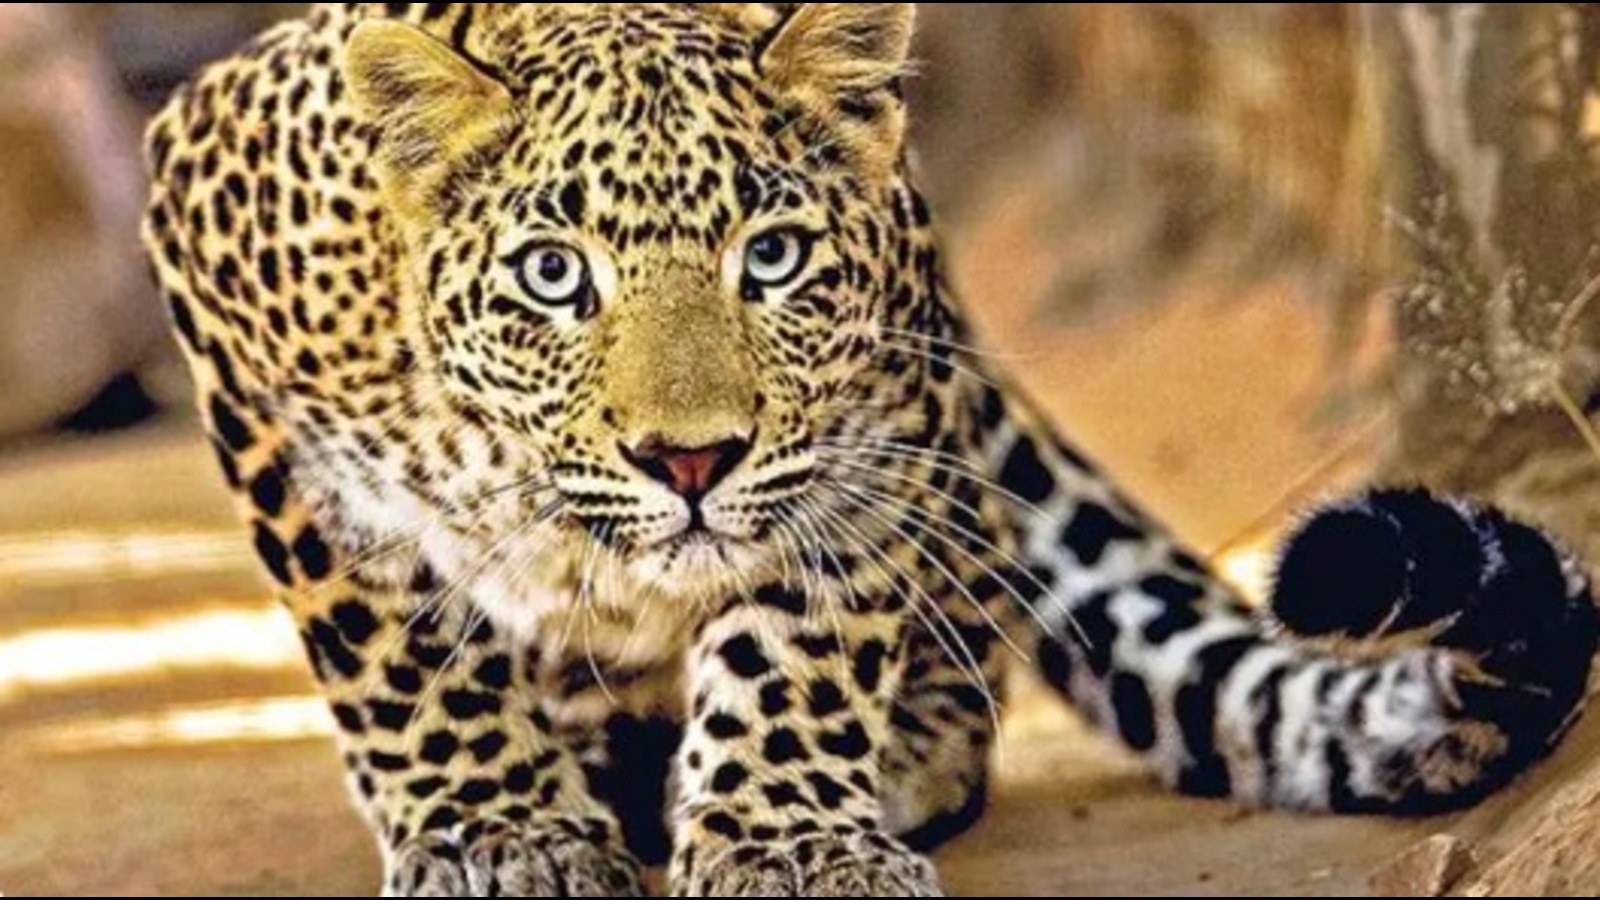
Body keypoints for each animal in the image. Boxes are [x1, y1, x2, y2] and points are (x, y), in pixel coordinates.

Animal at [142, 4, 1599, 896]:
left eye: (773, 258)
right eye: (553, 276)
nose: (690, 464)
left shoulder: (872, 419)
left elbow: (797, 642)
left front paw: (785, 841)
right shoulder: (225, 292)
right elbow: (395, 643)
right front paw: (497, 834)